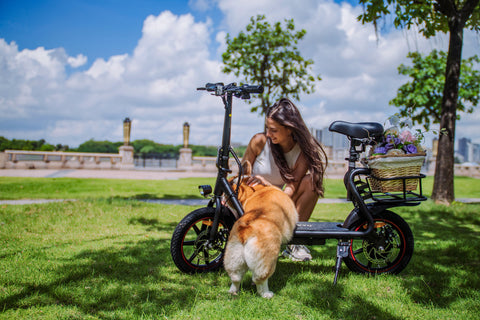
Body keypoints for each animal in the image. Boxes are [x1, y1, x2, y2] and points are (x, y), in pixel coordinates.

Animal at [223, 161, 298, 298]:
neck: (253, 190)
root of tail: (245, 229)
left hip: (233, 255)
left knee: (236, 277)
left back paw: (233, 291)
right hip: (267, 258)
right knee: (260, 279)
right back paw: (267, 294)